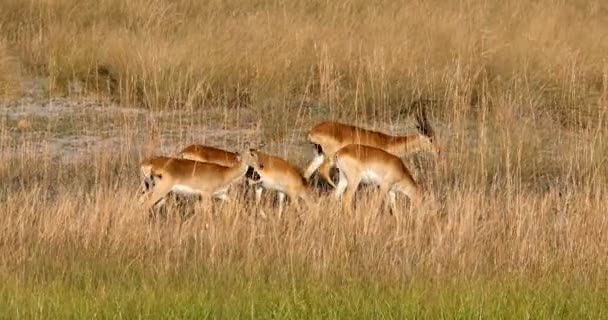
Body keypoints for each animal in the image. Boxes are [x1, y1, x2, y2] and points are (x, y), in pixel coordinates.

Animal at [302, 102, 436, 188]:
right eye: (430, 139)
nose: (438, 151)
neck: (388, 142)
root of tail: (312, 131)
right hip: (330, 158)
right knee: (323, 171)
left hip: (319, 156)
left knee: (307, 173)